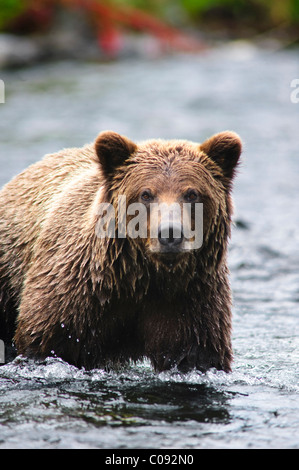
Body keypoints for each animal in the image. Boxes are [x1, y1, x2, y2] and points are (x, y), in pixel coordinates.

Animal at [0, 129, 241, 370]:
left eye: (192, 193)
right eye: (146, 194)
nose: (170, 233)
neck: (141, 276)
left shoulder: (192, 299)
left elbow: (196, 354)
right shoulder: (75, 293)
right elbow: (47, 340)